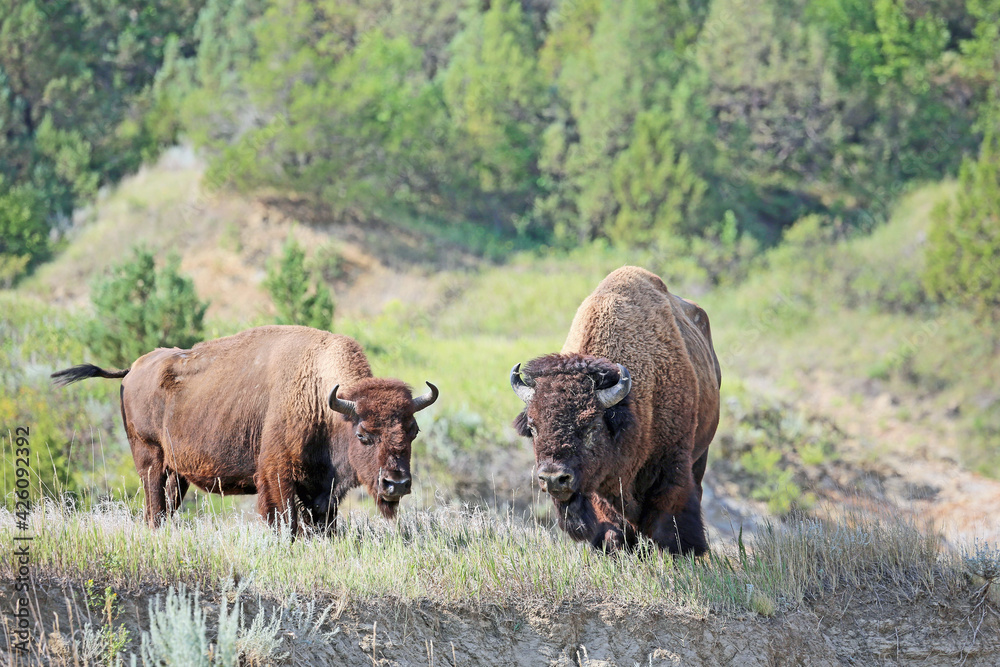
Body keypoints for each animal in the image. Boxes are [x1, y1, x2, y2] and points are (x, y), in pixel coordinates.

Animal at [48, 326, 436, 536]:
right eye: (363, 435)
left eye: (412, 432)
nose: (397, 484)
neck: (323, 400)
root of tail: (133, 369)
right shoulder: (277, 477)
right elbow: (285, 522)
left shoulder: (322, 490)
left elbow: (320, 525)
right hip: (150, 457)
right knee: (154, 505)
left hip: (178, 472)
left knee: (165, 505)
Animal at [508, 264, 720, 552]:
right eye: (533, 427)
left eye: (591, 425)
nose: (553, 478)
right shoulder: (600, 488)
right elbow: (614, 531)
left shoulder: (672, 467)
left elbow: (669, 526)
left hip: (701, 454)